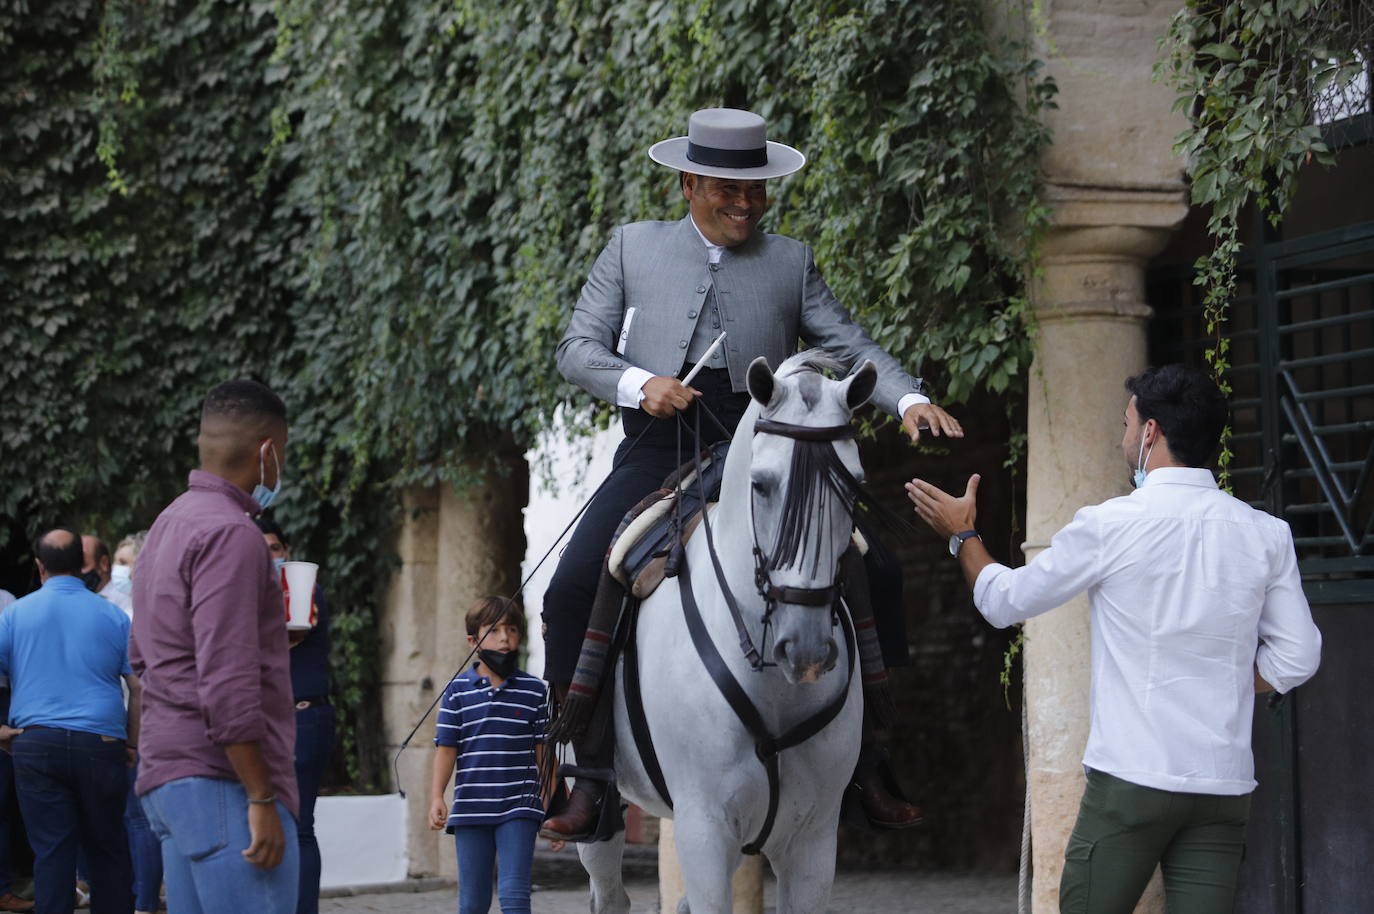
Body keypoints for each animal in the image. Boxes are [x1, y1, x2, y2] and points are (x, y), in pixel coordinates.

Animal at [574, 351, 873, 912]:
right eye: (761, 484)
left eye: (854, 486)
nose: (805, 648)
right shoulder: (703, 828)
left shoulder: (813, 839)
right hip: (601, 814)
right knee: (609, 889)